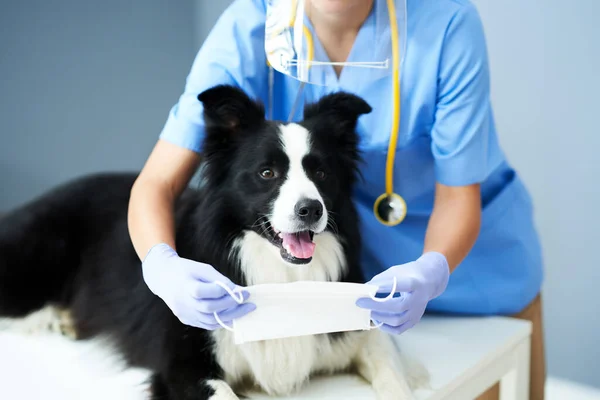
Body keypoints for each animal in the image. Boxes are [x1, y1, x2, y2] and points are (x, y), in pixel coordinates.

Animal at [0, 85, 426, 400]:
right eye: (267, 172)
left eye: (321, 172)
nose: (311, 209)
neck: (280, 275)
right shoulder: (181, 367)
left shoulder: (355, 333)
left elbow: (390, 368)